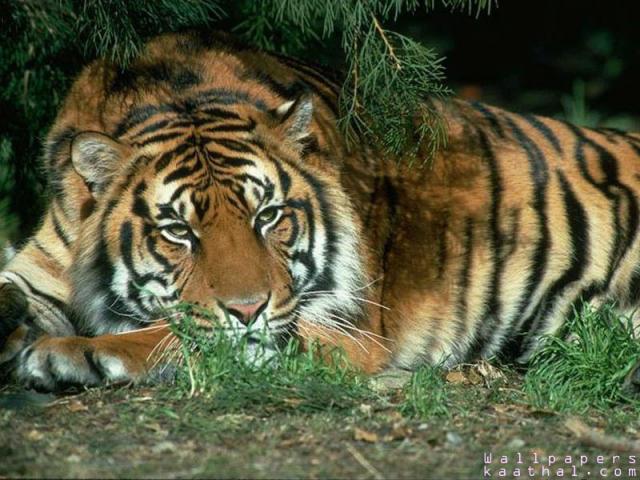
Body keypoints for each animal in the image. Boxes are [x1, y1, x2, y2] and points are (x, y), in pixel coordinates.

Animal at [3, 31, 640, 392]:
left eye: (267, 217)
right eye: (179, 231)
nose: (248, 308)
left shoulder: (339, 327)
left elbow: (179, 335)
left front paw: (65, 356)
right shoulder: (39, 266)